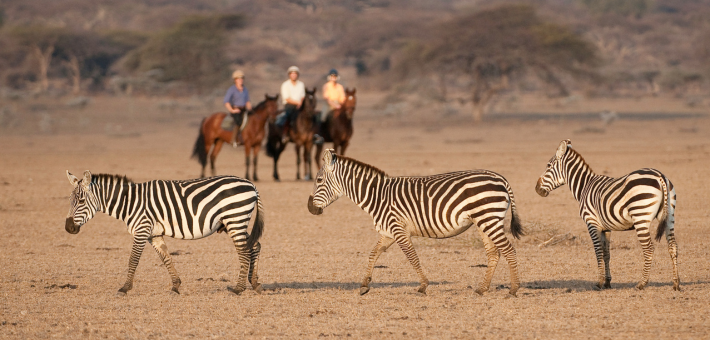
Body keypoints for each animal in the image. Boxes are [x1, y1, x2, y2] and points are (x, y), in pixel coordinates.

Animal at [63, 171, 264, 296]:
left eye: (81, 201)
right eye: (70, 201)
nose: (68, 228)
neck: (130, 203)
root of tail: (251, 184)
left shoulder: (142, 230)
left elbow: (133, 260)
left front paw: (125, 288)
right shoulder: (153, 234)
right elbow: (166, 257)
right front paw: (175, 286)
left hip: (235, 219)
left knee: (244, 251)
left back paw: (238, 288)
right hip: (235, 222)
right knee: (255, 245)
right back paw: (254, 284)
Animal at [306, 150, 524, 296]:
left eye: (319, 180)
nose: (310, 209)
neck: (377, 196)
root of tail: (501, 178)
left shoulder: (398, 229)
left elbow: (412, 257)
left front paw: (423, 285)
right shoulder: (387, 232)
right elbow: (373, 254)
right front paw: (364, 285)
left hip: (488, 218)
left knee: (508, 250)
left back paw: (513, 289)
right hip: (483, 221)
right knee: (494, 253)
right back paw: (482, 288)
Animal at [536, 139, 680, 290]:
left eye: (548, 166)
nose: (537, 188)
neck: (584, 187)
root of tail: (660, 176)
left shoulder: (592, 223)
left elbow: (598, 252)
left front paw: (599, 282)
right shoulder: (606, 228)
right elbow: (606, 254)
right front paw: (607, 282)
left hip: (640, 216)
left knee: (649, 249)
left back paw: (642, 283)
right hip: (670, 216)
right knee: (673, 247)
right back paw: (676, 283)